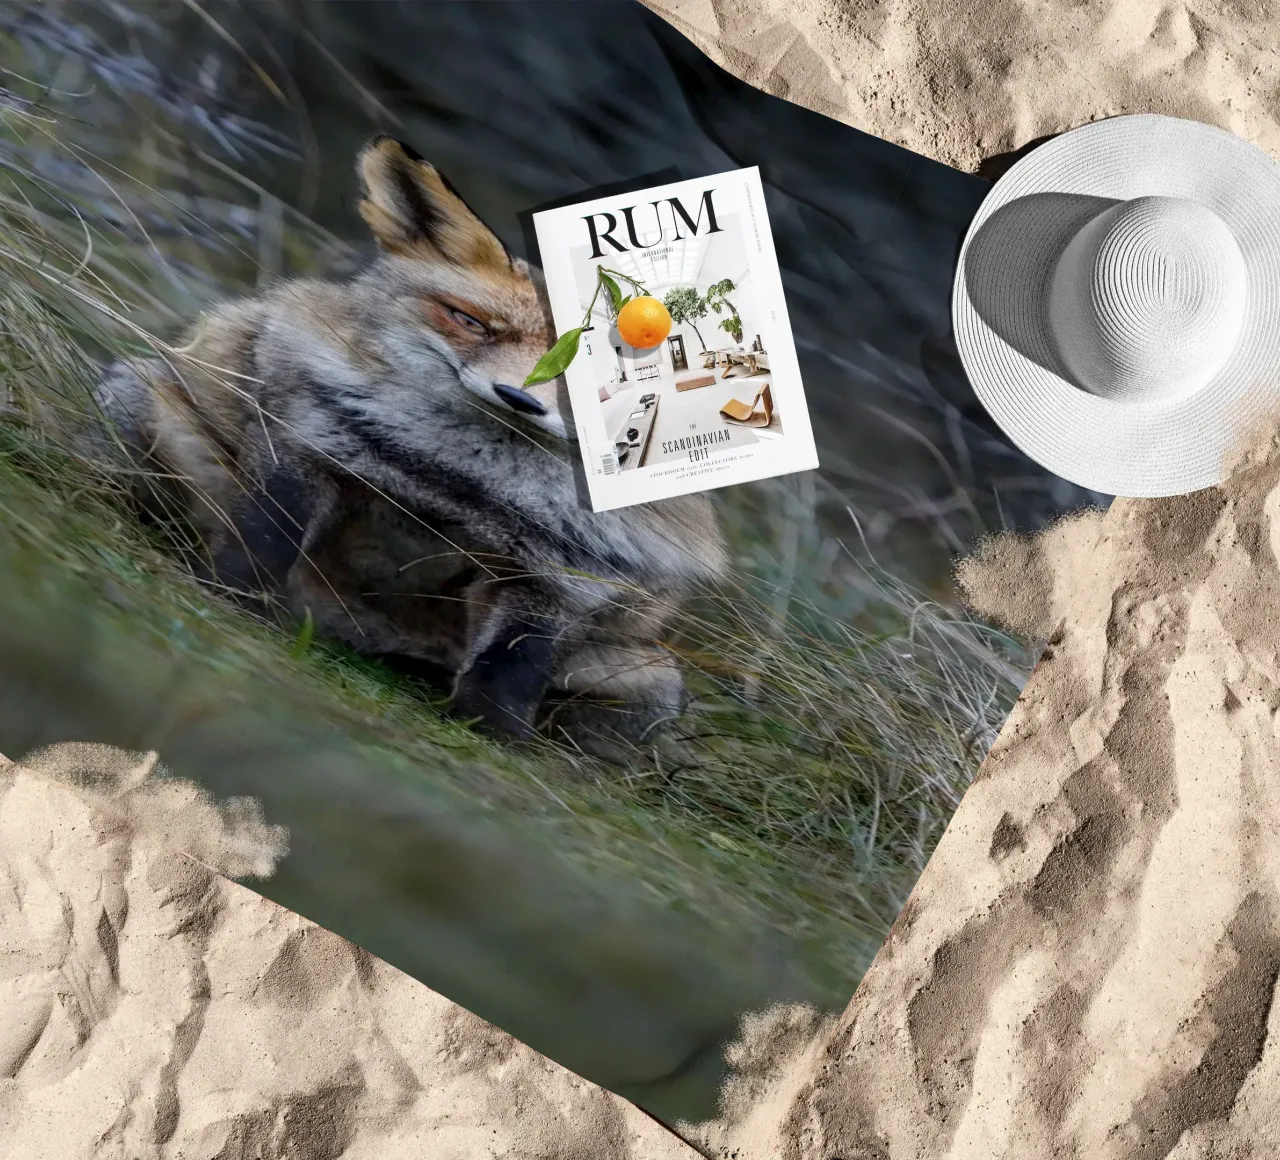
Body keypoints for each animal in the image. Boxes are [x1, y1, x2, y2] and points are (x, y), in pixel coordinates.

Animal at [90, 135, 729, 761]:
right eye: (470, 322)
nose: (517, 399)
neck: (461, 482)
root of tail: (355, 632)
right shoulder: (303, 447)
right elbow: (261, 542)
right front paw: (229, 598)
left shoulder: (560, 579)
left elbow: (510, 672)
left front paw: (495, 739)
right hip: (137, 405)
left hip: (653, 686)